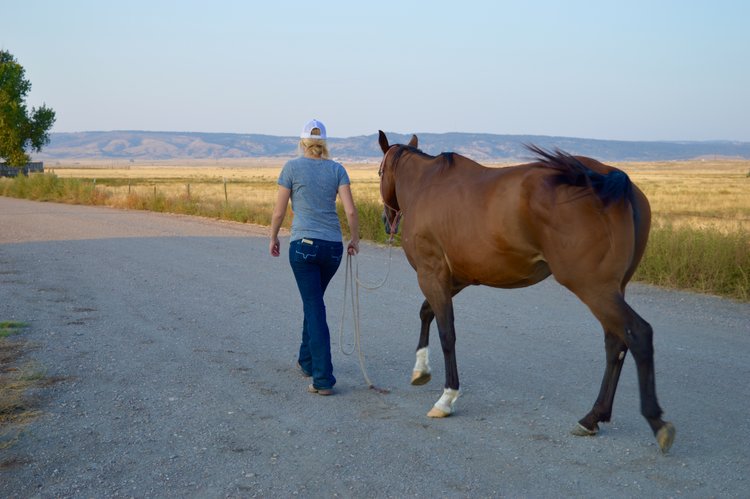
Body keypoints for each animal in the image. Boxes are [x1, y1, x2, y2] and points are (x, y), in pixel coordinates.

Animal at [378, 130, 680, 454]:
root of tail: (612, 178)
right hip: (612, 289)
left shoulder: (431, 273)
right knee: (616, 343)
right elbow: (426, 312)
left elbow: (447, 334)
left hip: (594, 288)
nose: (386, 220)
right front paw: (421, 370)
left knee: (638, 334)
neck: (426, 185)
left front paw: (447, 397)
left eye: (380, 172)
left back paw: (655, 420)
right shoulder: (456, 278)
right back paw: (592, 417)